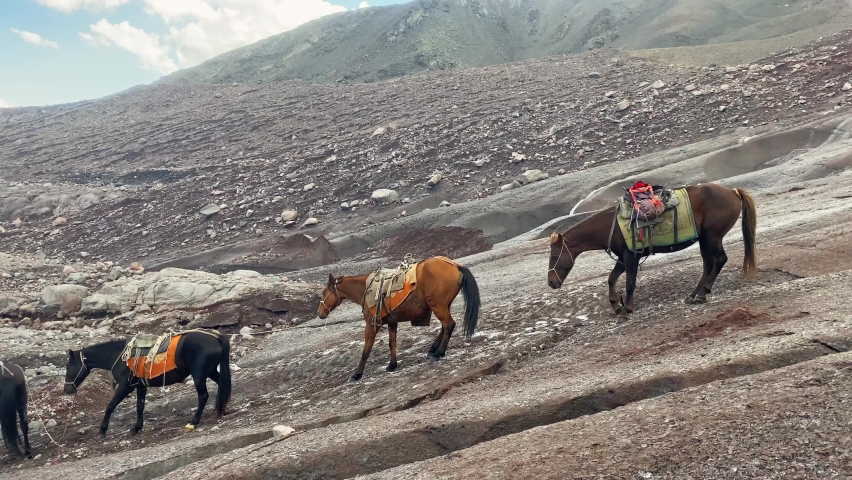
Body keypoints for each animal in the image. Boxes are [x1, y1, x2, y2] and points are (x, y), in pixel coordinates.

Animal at [63, 330, 232, 435]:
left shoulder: (125, 387)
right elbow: (140, 407)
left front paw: (103, 430)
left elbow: (110, 406)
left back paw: (194, 422)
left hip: (199, 375)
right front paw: (137, 428)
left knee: (203, 396)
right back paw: (221, 410)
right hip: (210, 371)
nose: (67, 390)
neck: (118, 356)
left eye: (68, 366)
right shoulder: (140, 387)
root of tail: (217, 337)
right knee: (222, 385)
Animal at [317, 256, 481, 381]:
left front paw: (356, 375)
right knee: (444, 326)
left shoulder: (371, 325)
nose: (320, 313)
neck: (366, 289)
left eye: (324, 292)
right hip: (443, 305)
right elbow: (392, 343)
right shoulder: (392, 322)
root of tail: (455, 265)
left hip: (437, 305)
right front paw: (392, 365)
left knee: (449, 324)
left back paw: (438, 353)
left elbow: (366, 350)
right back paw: (432, 350)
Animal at [548, 183, 757, 316]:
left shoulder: (631, 256)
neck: (611, 226)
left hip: (712, 237)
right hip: (704, 239)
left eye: (555, 256)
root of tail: (732, 192)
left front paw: (626, 309)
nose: (551, 283)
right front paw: (616, 305)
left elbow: (629, 283)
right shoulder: (623, 257)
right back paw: (694, 295)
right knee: (708, 264)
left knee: (719, 260)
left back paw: (702, 293)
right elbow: (611, 279)